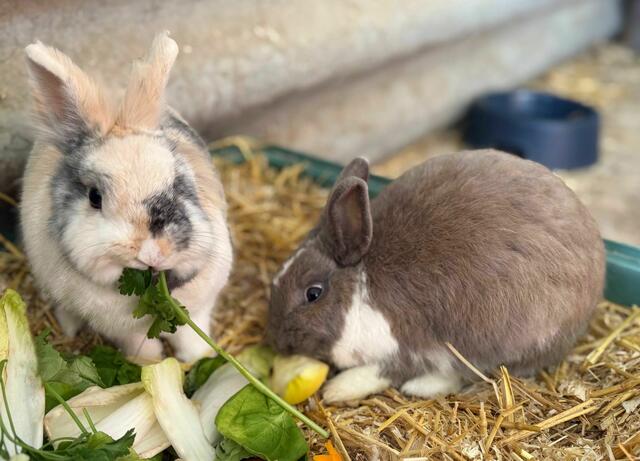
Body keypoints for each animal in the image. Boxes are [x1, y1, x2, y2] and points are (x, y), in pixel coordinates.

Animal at [20, 32, 232, 362]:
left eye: (178, 184)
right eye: (95, 197)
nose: (152, 253)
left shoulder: (198, 309)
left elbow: (191, 337)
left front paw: (202, 359)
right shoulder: (127, 332)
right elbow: (142, 347)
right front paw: (150, 364)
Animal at [266, 150, 605, 403]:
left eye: (313, 293)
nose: (277, 343)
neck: (359, 288)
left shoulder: (406, 344)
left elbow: (384, 371)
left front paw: (338, 389)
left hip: (496, 341)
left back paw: (420, 387)